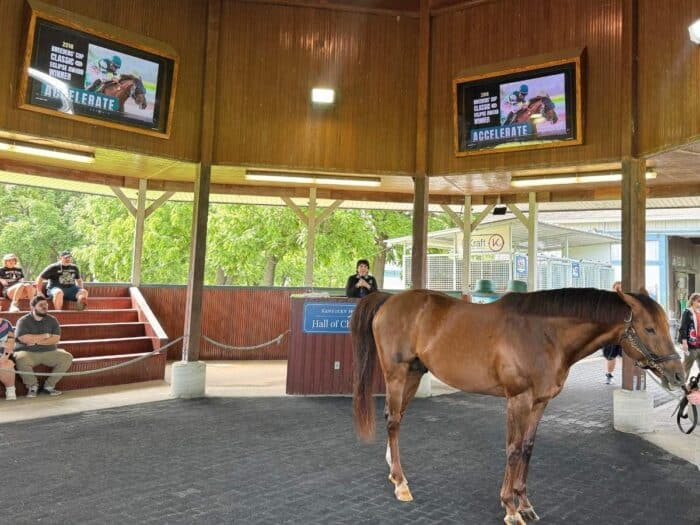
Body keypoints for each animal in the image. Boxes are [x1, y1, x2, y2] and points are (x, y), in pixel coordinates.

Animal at [351, 287, 684, 525]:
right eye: (650, 329)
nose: (679, 375)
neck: (544, 335)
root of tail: (389, 299)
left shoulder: (539, 403)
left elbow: (527, 447)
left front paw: (525, 504)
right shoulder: (518, 400)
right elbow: (512, 449)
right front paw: (510, 508)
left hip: (414, 374)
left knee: (395, 417)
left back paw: (393, 471)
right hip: (397, 374)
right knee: (393, 421)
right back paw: (400, 483)